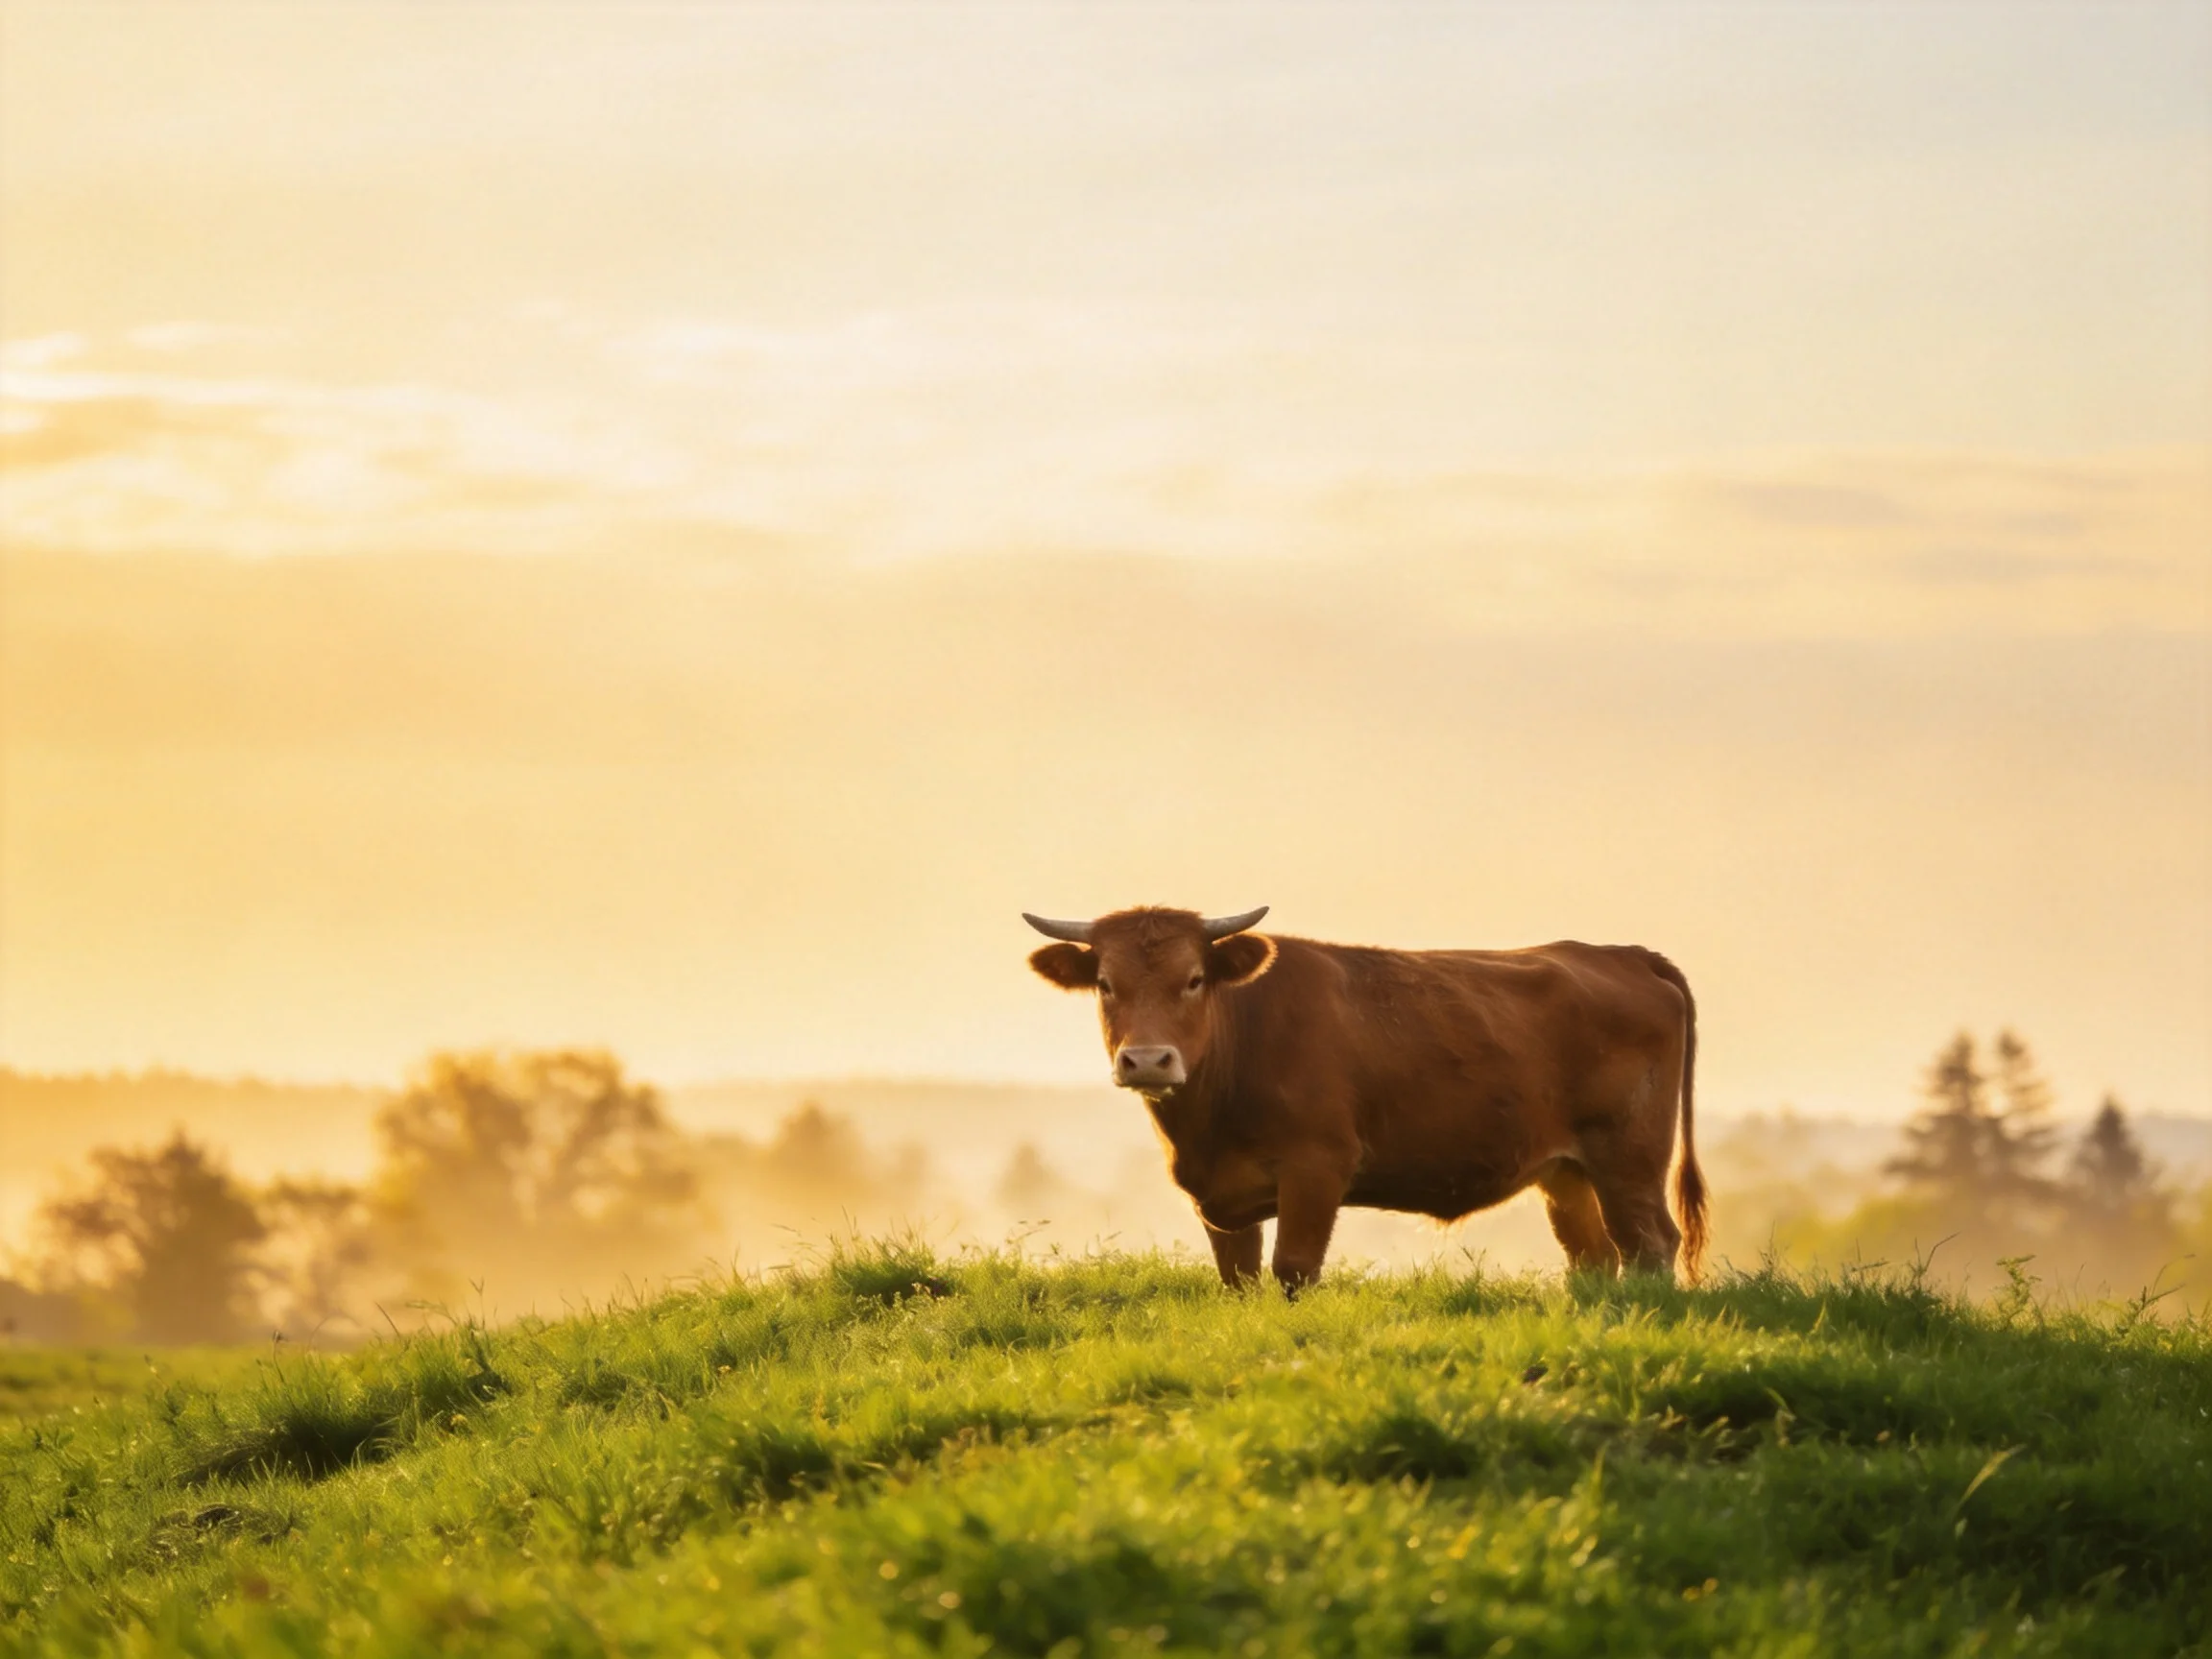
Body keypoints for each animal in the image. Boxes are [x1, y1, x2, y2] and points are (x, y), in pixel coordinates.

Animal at [1022, 905, 1707, 1291]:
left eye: (1193, 980)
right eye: (1105, 984)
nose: (1147, 1060)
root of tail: (1622, 954)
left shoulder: (1318, 1166)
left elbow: (1295, 1268)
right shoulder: (1221, 1197)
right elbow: (1237, 1278)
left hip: (1628, 1158)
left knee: (1650, 1244)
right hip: (1565, 1172)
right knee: (1593, 1256)